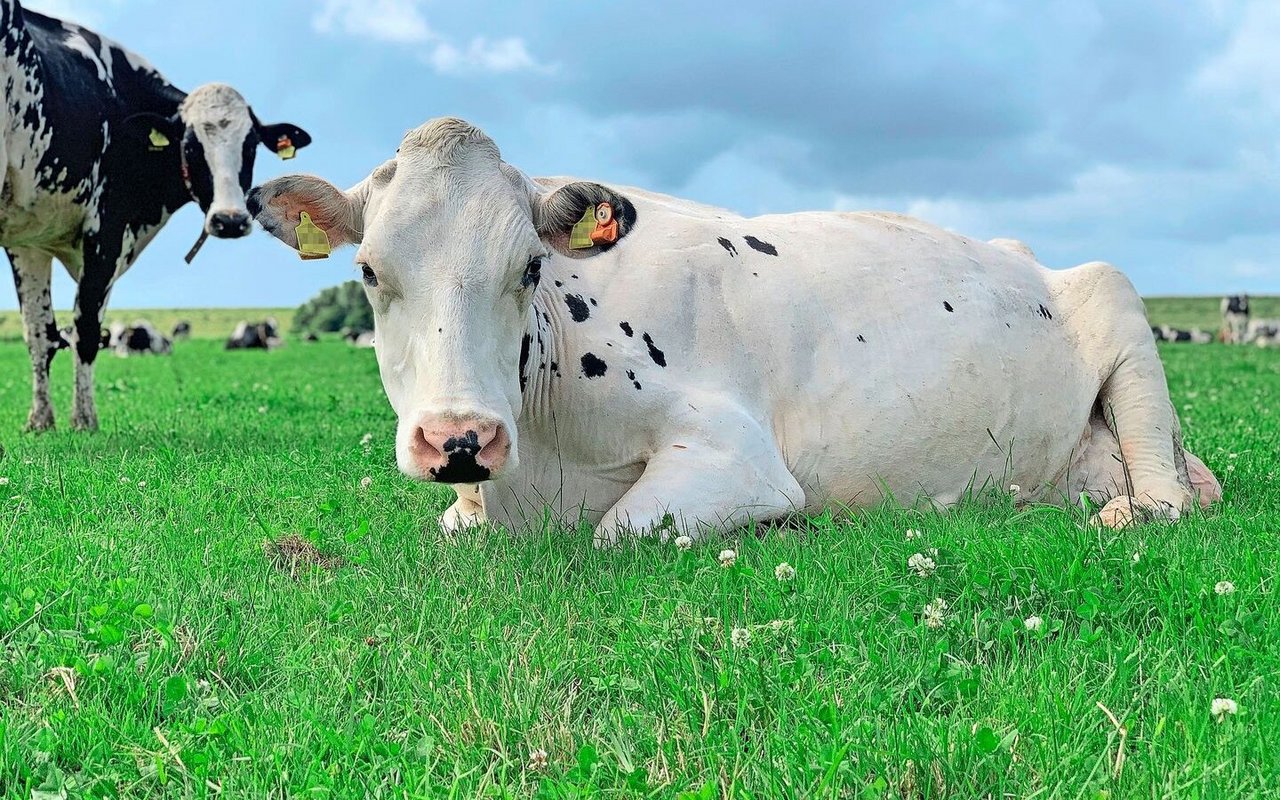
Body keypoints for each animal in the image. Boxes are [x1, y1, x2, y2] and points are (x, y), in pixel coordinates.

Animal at [1, 0, 312, 430]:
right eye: (190, 146)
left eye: (249, 146)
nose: (230, 220)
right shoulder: (107, 228)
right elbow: (85, 328)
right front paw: (84, 420)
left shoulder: (29, 241)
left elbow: (39, 333)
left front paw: (41, 421)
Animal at [249, 117, 1218, 542]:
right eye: (369, 273)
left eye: (528, 268)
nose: (460, 439)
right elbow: (456, 524)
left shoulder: (737, 456)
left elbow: (618, 528)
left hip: (1117, 300)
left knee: (1164, 490)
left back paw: (1137, 509)